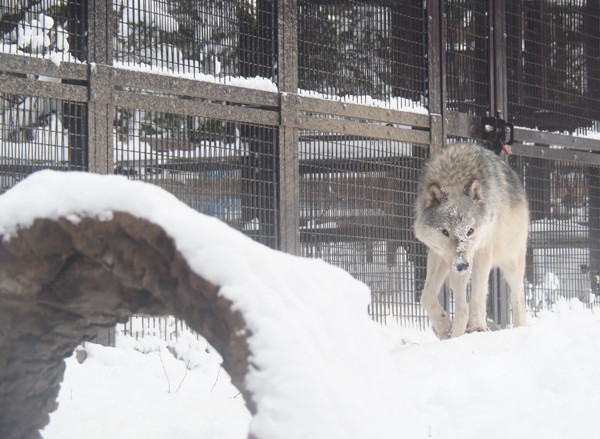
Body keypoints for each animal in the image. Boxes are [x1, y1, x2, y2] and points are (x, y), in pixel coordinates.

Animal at [414, 143, 528, 338]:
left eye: (470, 231)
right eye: (445, 232)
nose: (462, 265)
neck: (454, 176)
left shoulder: (482, 251)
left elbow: (477, 296)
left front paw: (477, 327)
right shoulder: (440, 255)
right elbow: (426, 296)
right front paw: (445, 328)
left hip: (512, 261)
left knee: (518, 296)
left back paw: (520, 328)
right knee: (459, 305)